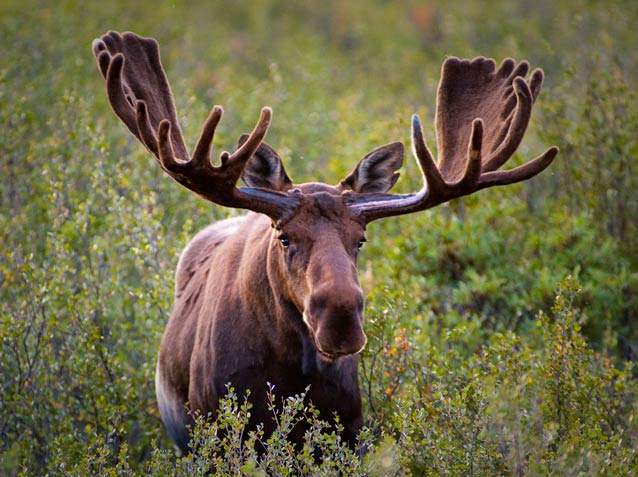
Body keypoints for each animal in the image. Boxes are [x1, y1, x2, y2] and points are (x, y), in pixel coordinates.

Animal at [92, 30, 556, 454]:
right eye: (284, 237)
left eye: (361, 239)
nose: (340, 319)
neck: (287, 375)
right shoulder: (218, 432)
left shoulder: (347, 433)